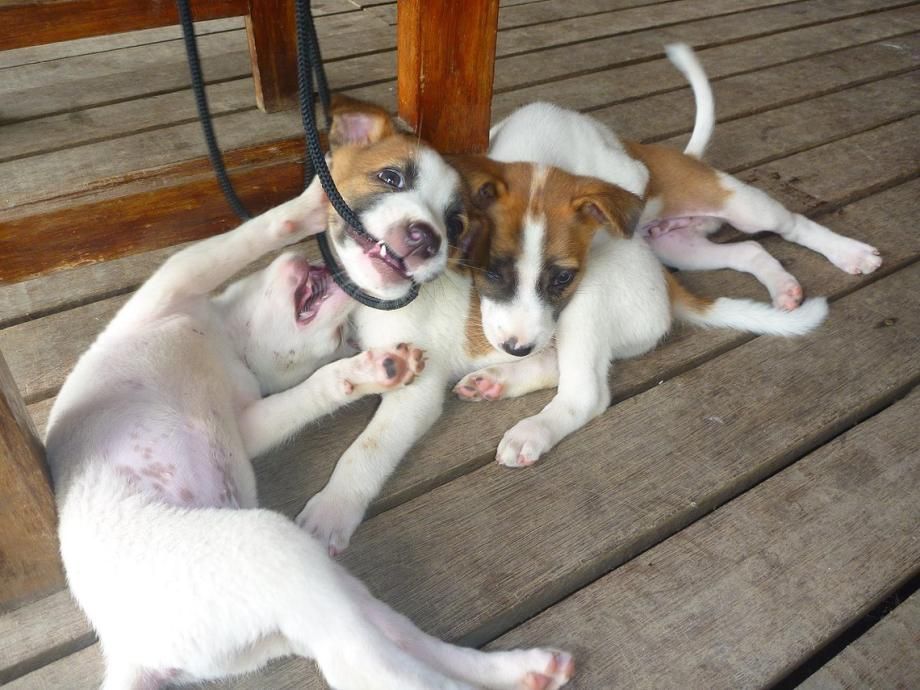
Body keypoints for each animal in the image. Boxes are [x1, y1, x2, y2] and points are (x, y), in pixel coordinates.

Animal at [45, 176, 575, 687]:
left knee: (394, 644)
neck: (225, 343)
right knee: (372, 662)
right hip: (277, 560)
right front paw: (313, 200)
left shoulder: (244, 422)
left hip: (310, 591)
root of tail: (131, 656)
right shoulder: (175, 287)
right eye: (338, 336)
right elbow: (248, 235)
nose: (350, 340)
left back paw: (528, 669)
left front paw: (372, 371)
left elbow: (311, 392)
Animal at [484, 44, 881, 312]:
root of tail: (689, 158)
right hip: (681, 248)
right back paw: (783, 287)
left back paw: (852, 254)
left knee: (795, 225)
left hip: (745, 208)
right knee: (749, 251)